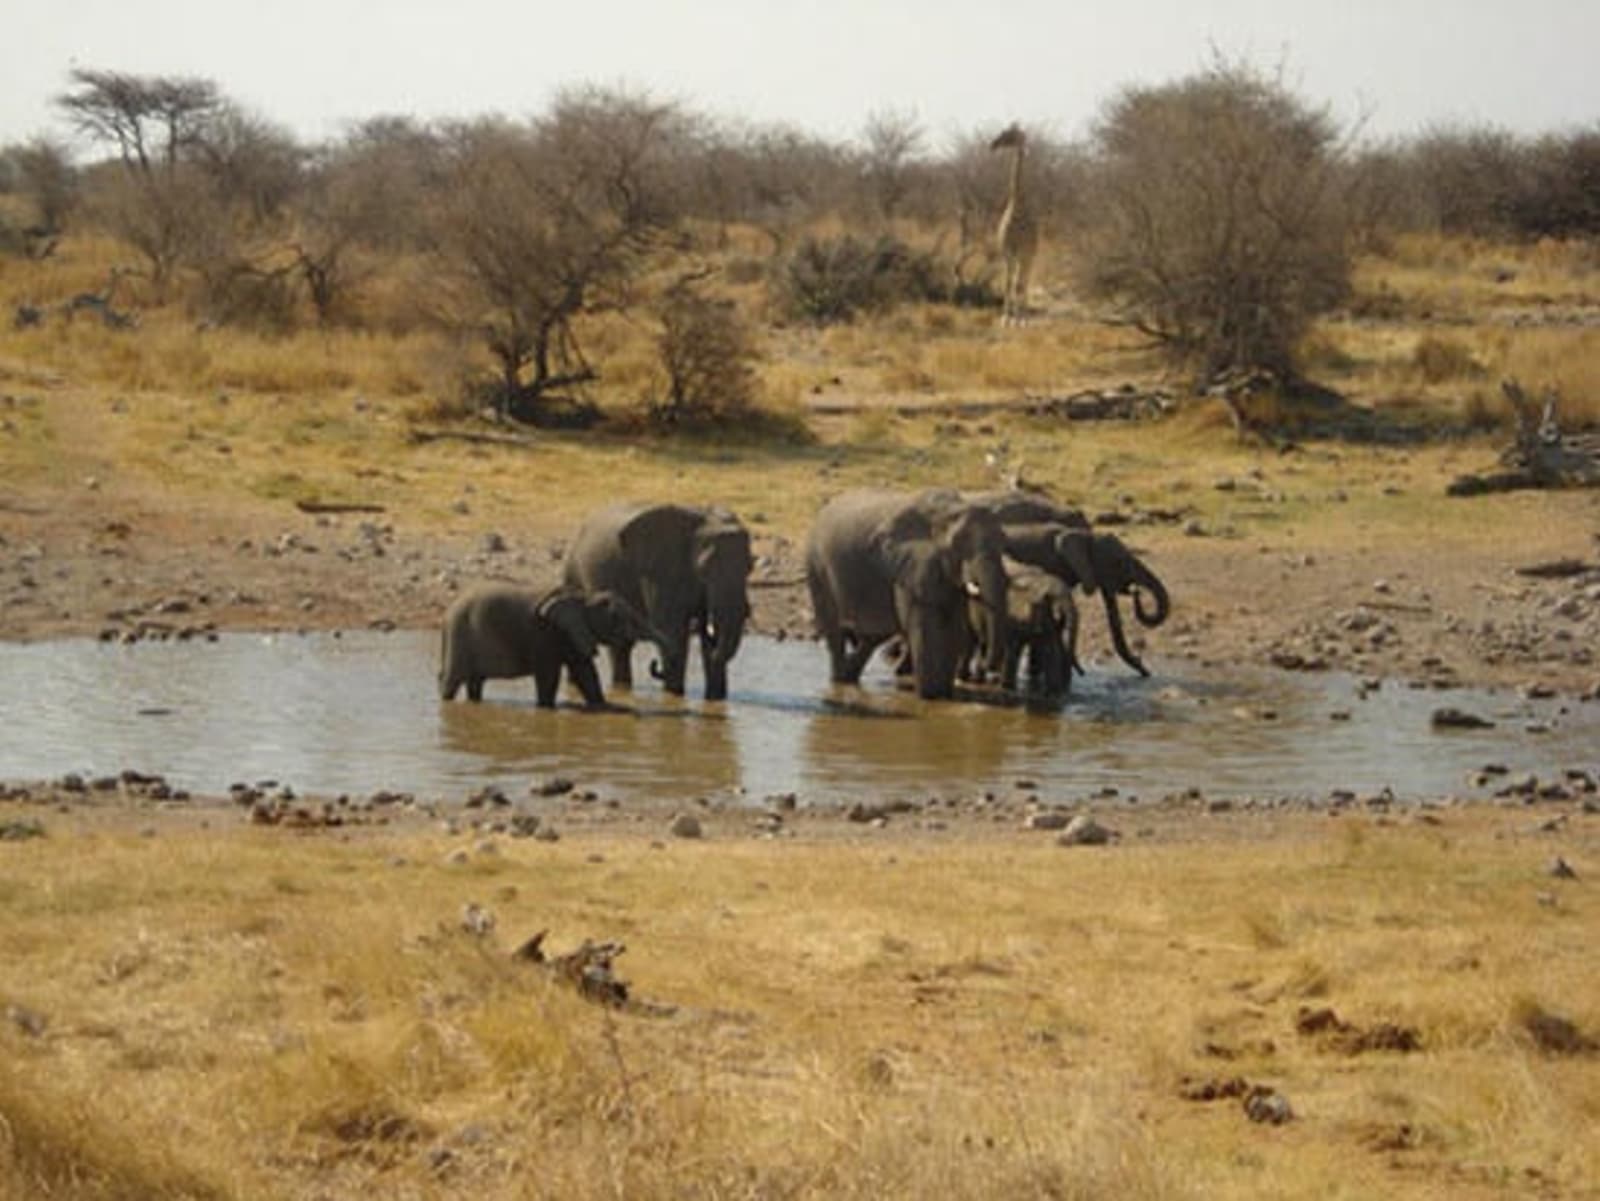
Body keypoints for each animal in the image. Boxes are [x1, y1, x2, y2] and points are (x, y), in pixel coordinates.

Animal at [438, 584, 660, 706]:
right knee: (451, 682)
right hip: (460, 636)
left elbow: (585, 672)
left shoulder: (570, 632)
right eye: (616, 617)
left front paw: (603, 706)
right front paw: (546, 708)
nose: (654, 662)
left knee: (475, 683)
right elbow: (549, 676)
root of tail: (447, 613)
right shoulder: (545, 633)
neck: (583, 597)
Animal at [563, 502, 753, 701]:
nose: (655, 666)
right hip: (573, 570)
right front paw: (674, 696)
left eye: (750, 566)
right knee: (618, 646)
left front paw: (715, 701)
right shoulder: (660, 572)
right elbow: (672, 629)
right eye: (704, 570)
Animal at [805, 489, 1010, 700]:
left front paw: (943, 694)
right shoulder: (912, 567)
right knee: (834, 630)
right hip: (816, 565)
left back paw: (850, 677)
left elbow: (953, 625)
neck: (946, 511)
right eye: (958, 545)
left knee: (876, 633)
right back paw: (839, 682)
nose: (987, 670)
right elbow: (923, 625)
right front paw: (931, 697)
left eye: (1004, 543)